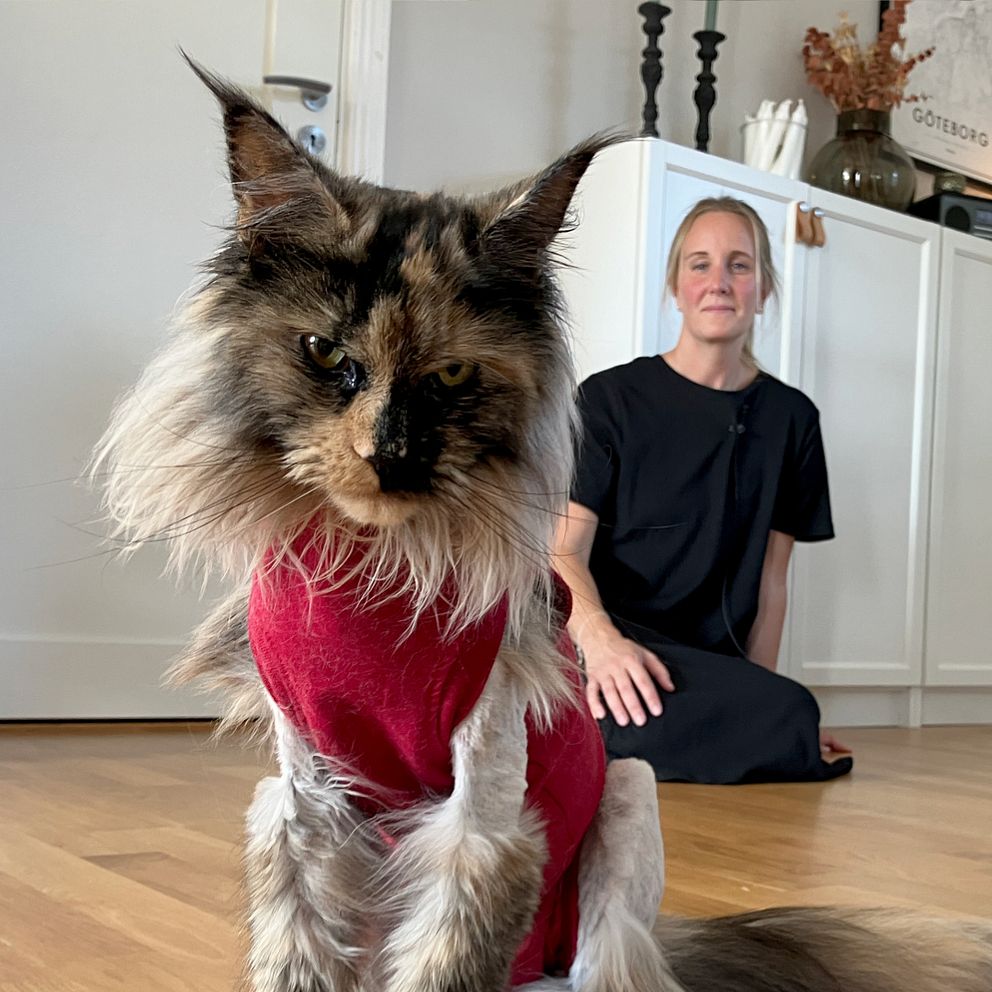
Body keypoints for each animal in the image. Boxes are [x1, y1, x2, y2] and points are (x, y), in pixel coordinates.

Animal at [94, 61, 992, 992]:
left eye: (454, 374)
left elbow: (447, 960)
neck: (379, 569)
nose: (391, 456)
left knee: (610, 959)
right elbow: (300, 958)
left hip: (630, 796)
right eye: (325, 354)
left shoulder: (481, 811)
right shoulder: (303, 800)